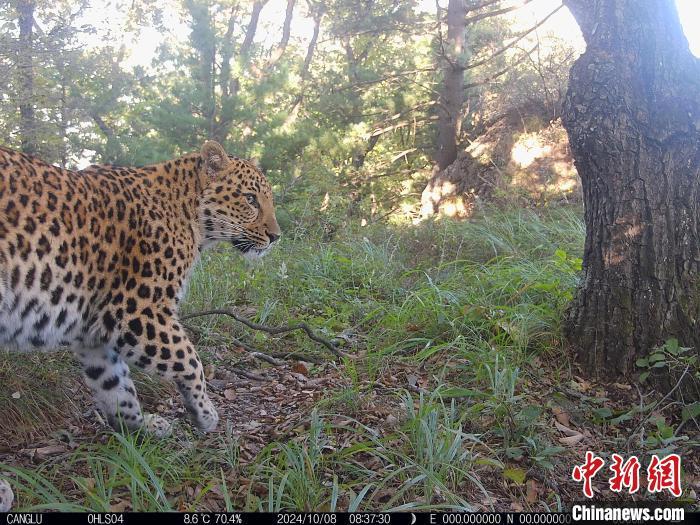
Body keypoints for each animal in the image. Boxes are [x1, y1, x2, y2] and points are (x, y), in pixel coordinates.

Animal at [0, 139, 282, 434]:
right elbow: (189, 358)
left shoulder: (95, 328)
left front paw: (139, 426)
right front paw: (205, 412)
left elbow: (115, 383)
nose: (276, 237)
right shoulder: (137, 311)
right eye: (250, 199)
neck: (190, 216)